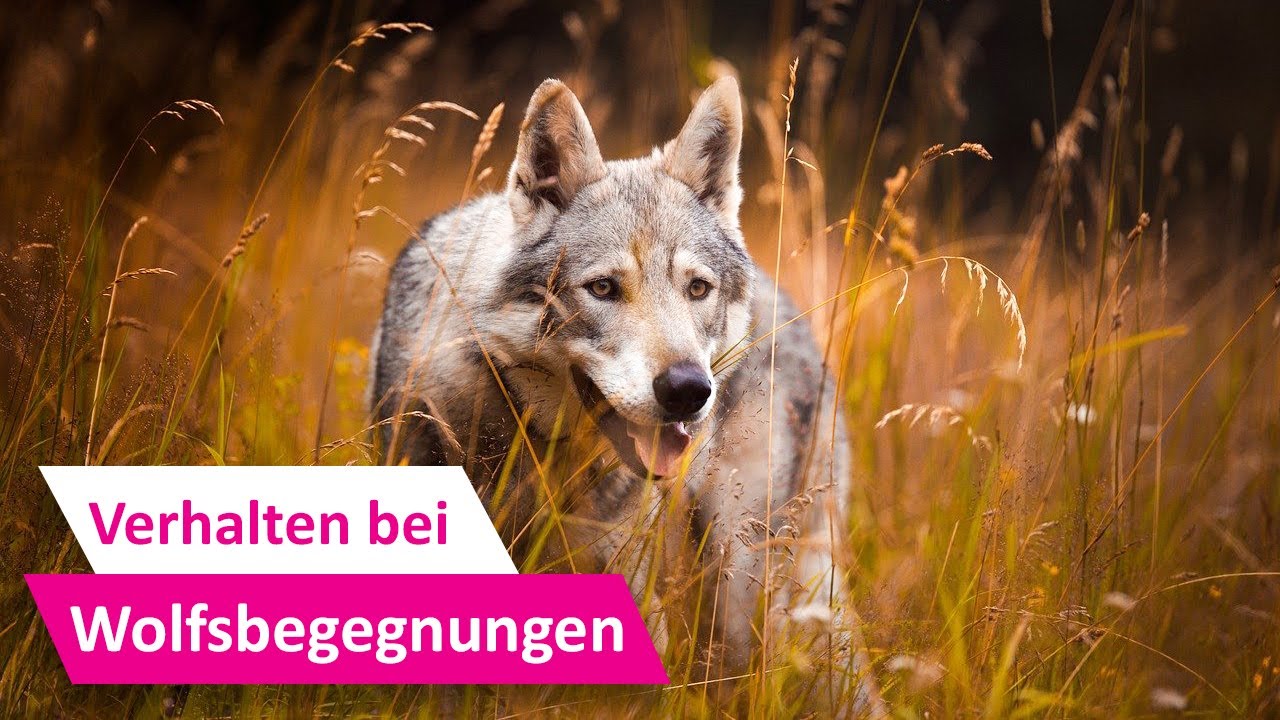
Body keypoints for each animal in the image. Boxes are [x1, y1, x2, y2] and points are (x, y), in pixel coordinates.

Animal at [371, 77, 881, 714]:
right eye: (603, 288)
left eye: (697, 289)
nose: (688, 390)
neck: (536, 450)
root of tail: (794, 310)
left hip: (743, 588)